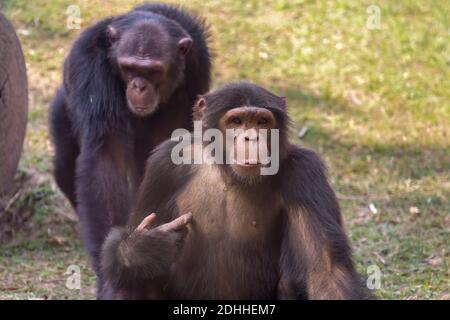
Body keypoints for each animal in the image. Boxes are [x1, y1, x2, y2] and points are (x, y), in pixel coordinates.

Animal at [49, 2, 211, 298]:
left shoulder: (196, 66)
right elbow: (105, 158)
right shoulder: (90, 65)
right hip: (62, 108)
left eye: (153, 71)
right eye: (128, 67)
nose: (139, 85)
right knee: (65, 166)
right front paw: (119, 273)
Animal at [102, 81, 372, 298]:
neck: (227, 173)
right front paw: (144, 248)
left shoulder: (305, 173)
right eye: (236, 121)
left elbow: (326, 271)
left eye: (262, 122)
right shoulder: (162, 168)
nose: (251, 138)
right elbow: (136, 228)